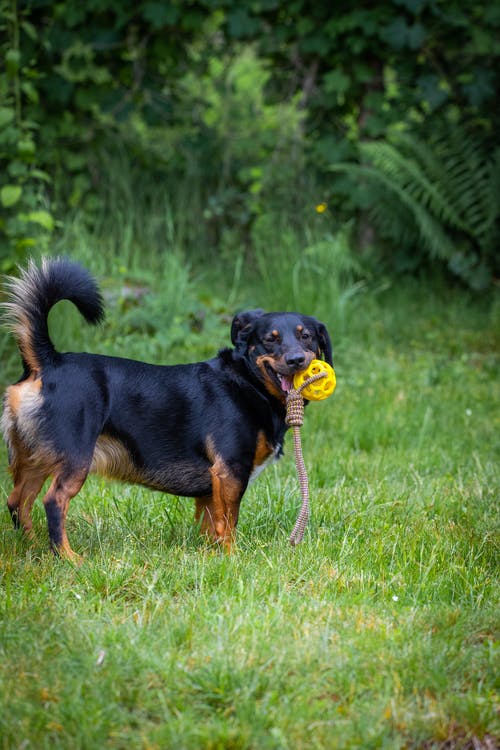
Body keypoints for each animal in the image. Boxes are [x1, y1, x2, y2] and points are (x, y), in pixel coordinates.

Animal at [3, 258, 334, 560]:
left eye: (306, 336)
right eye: (269, 340)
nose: (296, 360)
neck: (247, 382)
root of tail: (48, 362)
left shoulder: (210, 488)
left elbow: (211, 526)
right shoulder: (230, 471)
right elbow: (228, 524)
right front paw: (232, 558)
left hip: (35, 459)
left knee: (17, 501)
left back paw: (33, 547)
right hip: (75, 458)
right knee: (53, 501)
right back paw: (68, 557)